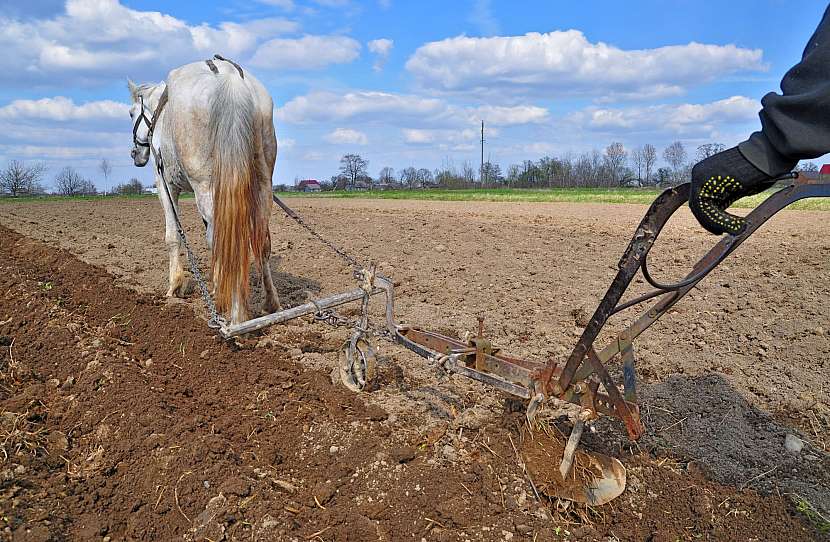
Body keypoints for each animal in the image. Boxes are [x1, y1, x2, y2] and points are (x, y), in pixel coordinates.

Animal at [128, 57, 282, 326]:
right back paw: (268, 303)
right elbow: (211, 238)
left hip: (204, 185)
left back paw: (236, 316)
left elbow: (173, 235)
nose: (135, 154)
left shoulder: (165, 185)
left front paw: (174, 287)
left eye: (131, 113)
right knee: (259, 240)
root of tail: (229, 78)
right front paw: (216, 283)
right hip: (262, 184)